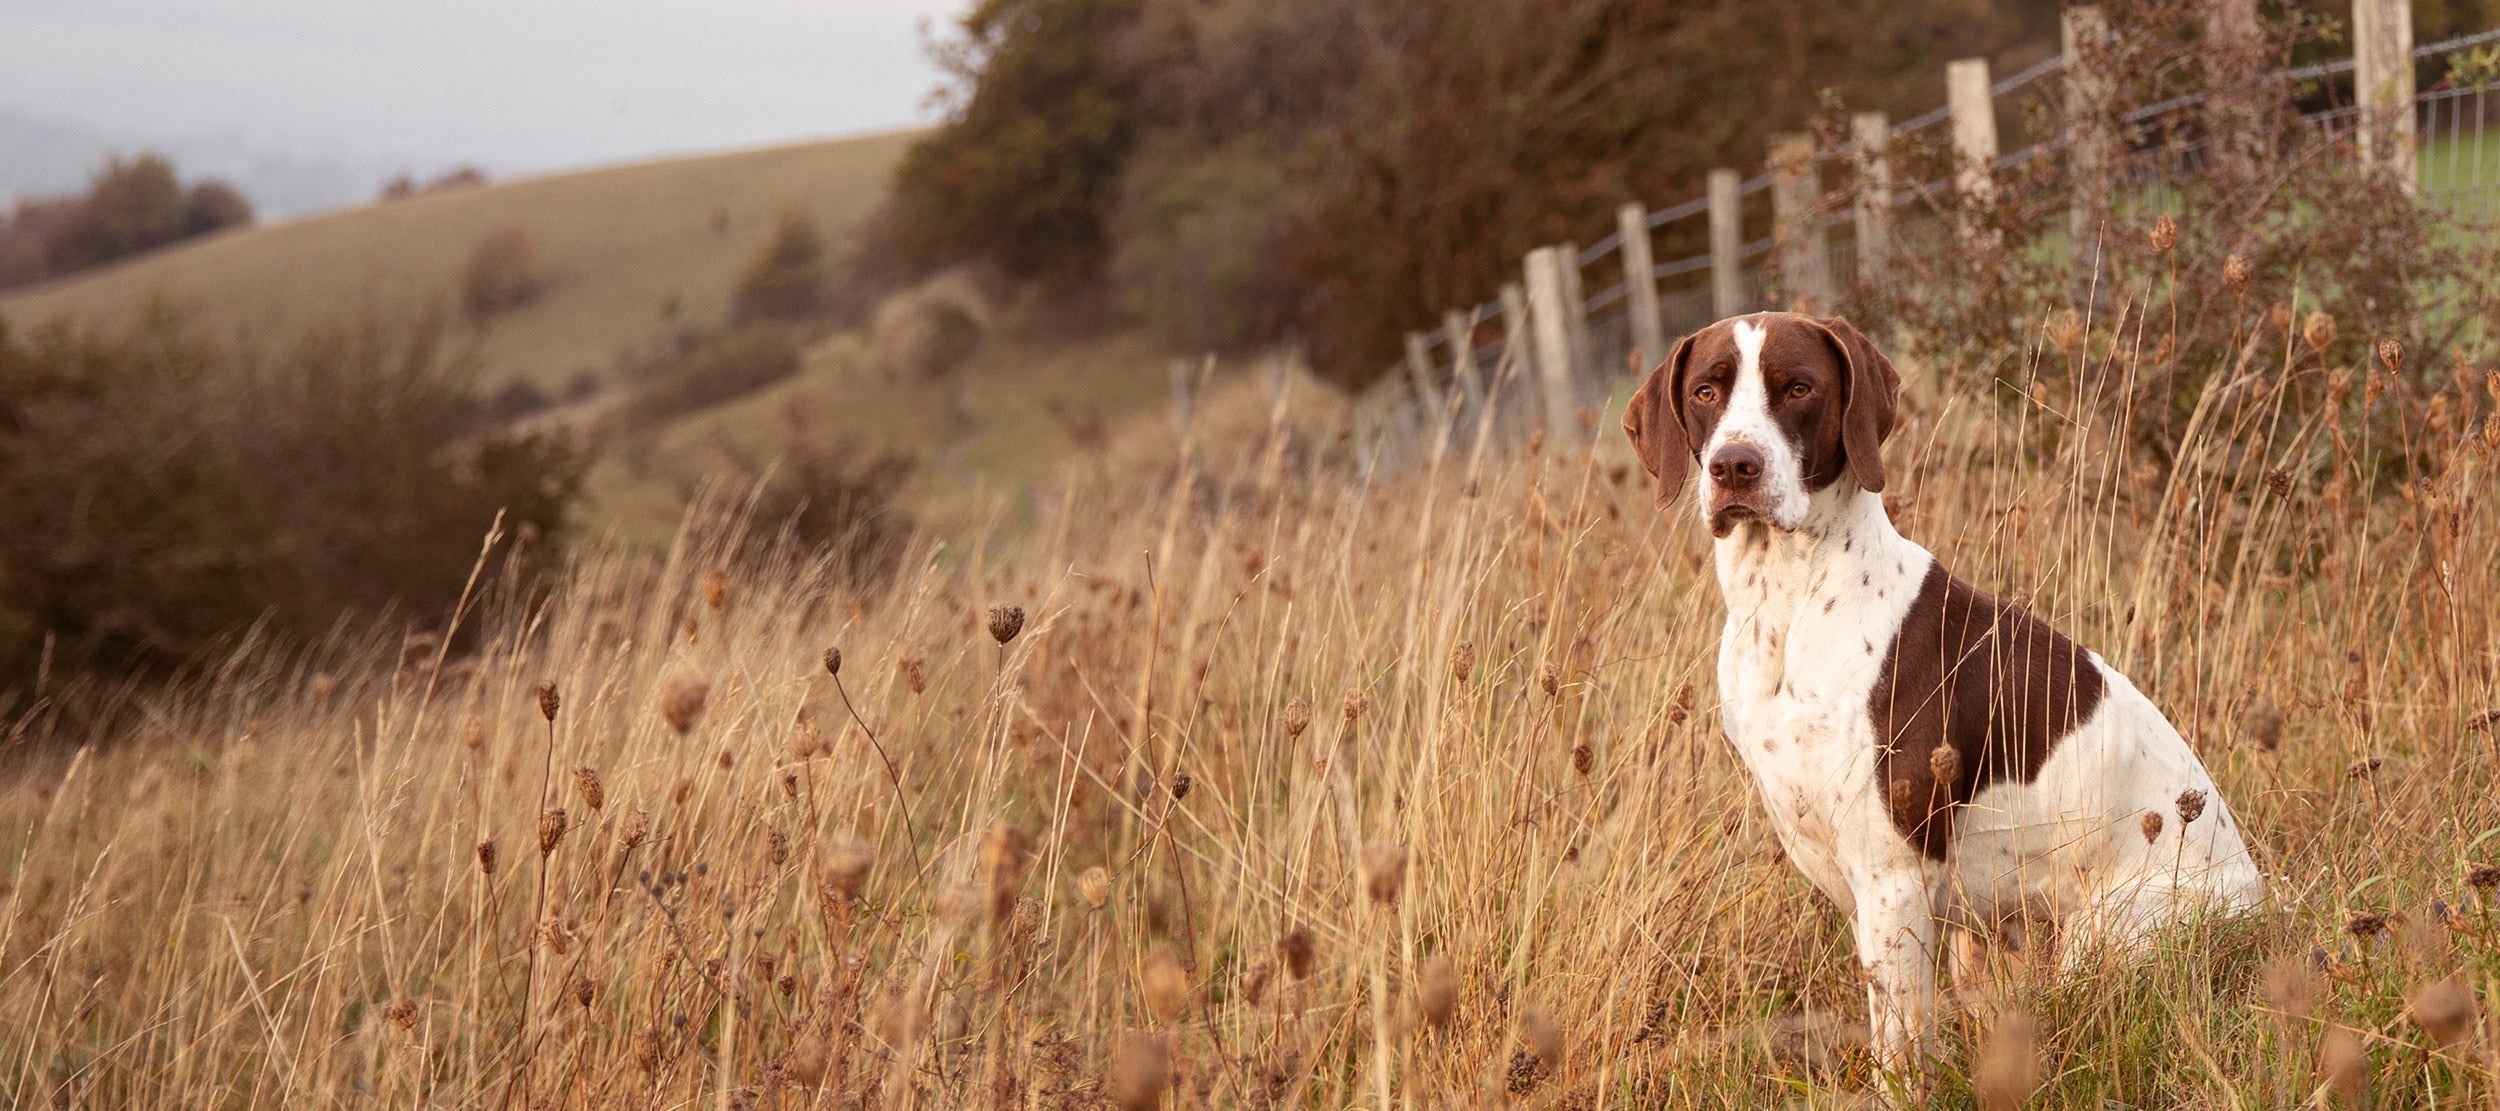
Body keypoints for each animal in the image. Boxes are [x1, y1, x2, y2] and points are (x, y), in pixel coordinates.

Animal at [1620, 310, 2270, 1065]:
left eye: (1799, 387)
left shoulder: (1893, 880)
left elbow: (1899, 1049)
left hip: (2104, 934)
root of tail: (2263, 908)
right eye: (1705, 391)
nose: (1734, 465)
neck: (1789, 602)